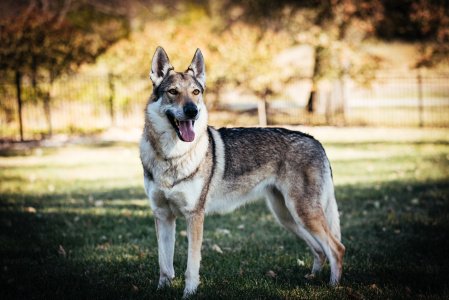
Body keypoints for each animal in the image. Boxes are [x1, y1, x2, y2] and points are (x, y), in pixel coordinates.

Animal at [142, 47, 344, 298]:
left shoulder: (194, 216)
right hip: (288, 217)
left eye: (195, 92)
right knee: (320, 250)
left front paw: (189, 294)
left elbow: (191, 266)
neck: (171, 157)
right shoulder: (162, 216)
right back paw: (312, 278)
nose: (192, 111)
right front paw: (161, 291)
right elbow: (165, 265)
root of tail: (316, 141)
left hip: (303, 214)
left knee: (337, 248)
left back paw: (333, 286)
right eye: (173, 92)